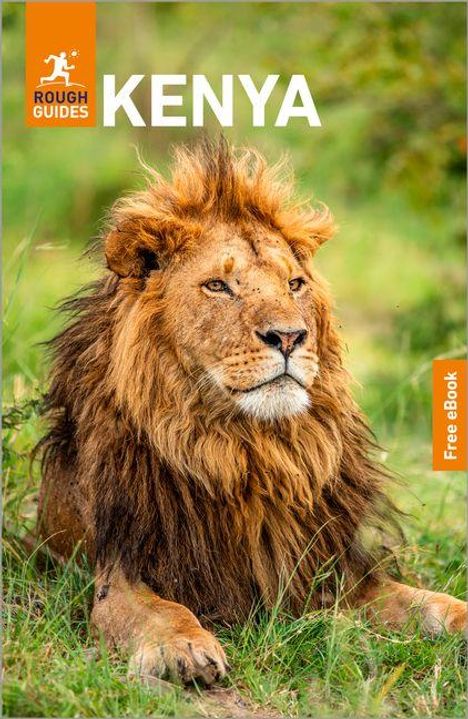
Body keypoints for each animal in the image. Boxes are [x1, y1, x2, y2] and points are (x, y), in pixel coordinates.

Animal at [37, 139, 466, 685]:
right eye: (219, 286)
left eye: (295, 285)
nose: (289, 336)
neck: (250, 452)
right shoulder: (120, 570)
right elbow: (162, 609)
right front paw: (185, 646)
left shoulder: (336, 573)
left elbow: (436, 604)